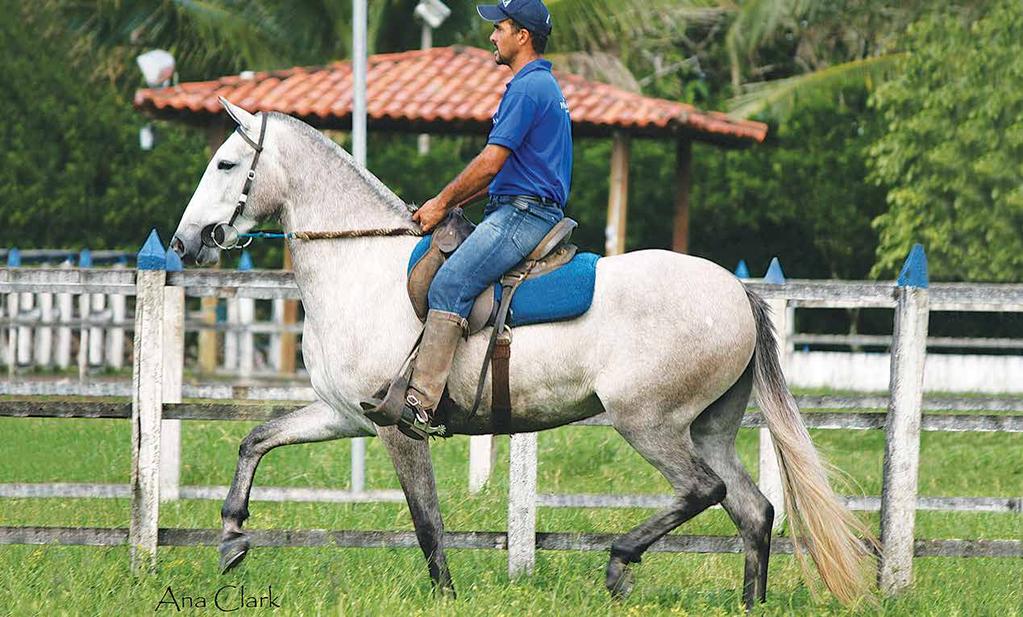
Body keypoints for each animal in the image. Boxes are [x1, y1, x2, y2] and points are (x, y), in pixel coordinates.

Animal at [171, 98, 875, 609]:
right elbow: (256, 441)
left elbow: (427, 520)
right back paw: (747, 601)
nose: (185, 242)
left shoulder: (397, 429)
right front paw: (231, 537)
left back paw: (620, 561)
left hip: (649, 424)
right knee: (754, 512)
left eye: (226, 164)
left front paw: (445, 595)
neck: (362, 264)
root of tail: (735, 291)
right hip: (710, 429)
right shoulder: (345, 415)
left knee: (704, 491)